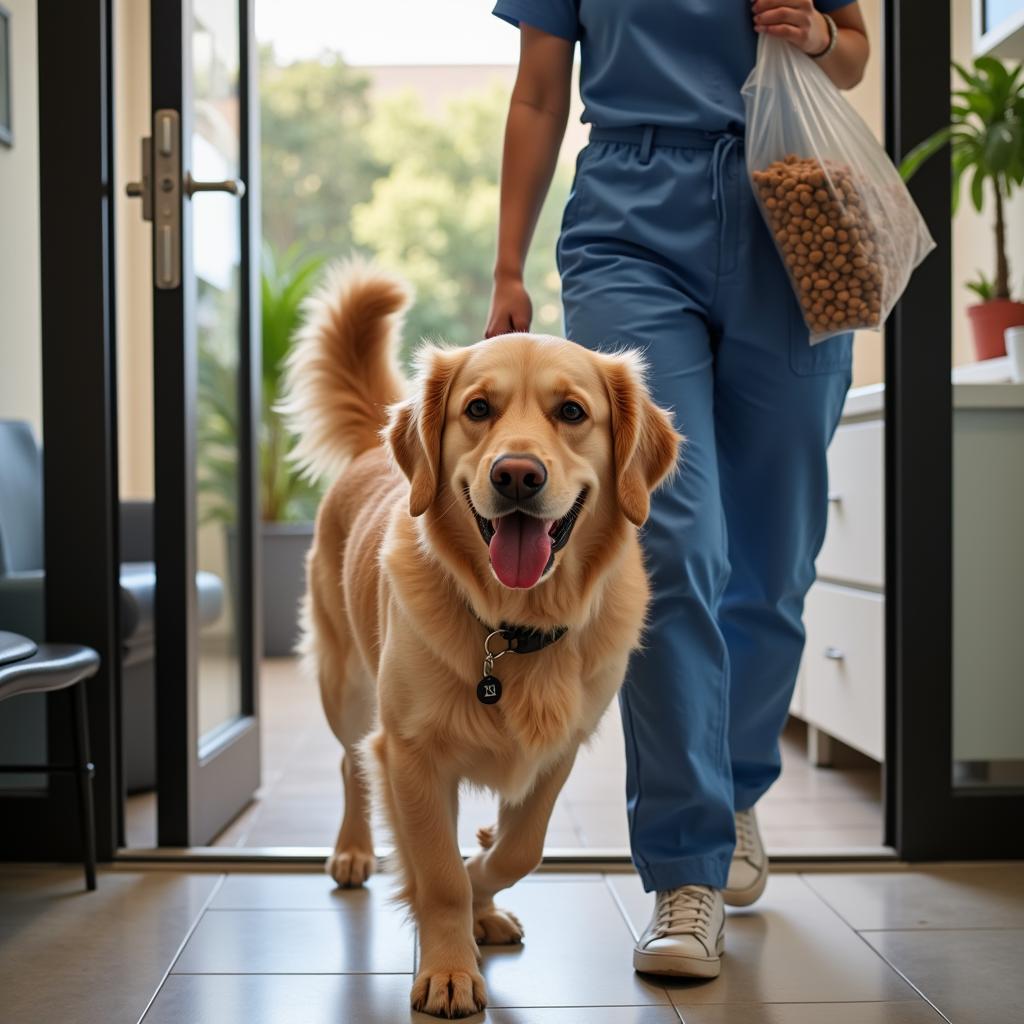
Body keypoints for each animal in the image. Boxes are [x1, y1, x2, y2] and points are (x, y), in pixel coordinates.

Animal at [282, 262, 679, 1015]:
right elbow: (438, 873)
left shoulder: (557, 750)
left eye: (572, 413)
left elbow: (520, 848)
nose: (516, 474)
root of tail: (370, 451)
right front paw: (447, 968)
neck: (513, 625)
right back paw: (352, 849)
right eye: (477, 409)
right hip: (345, 684)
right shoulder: (409, 750)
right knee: (351, 762)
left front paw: (482, 890)